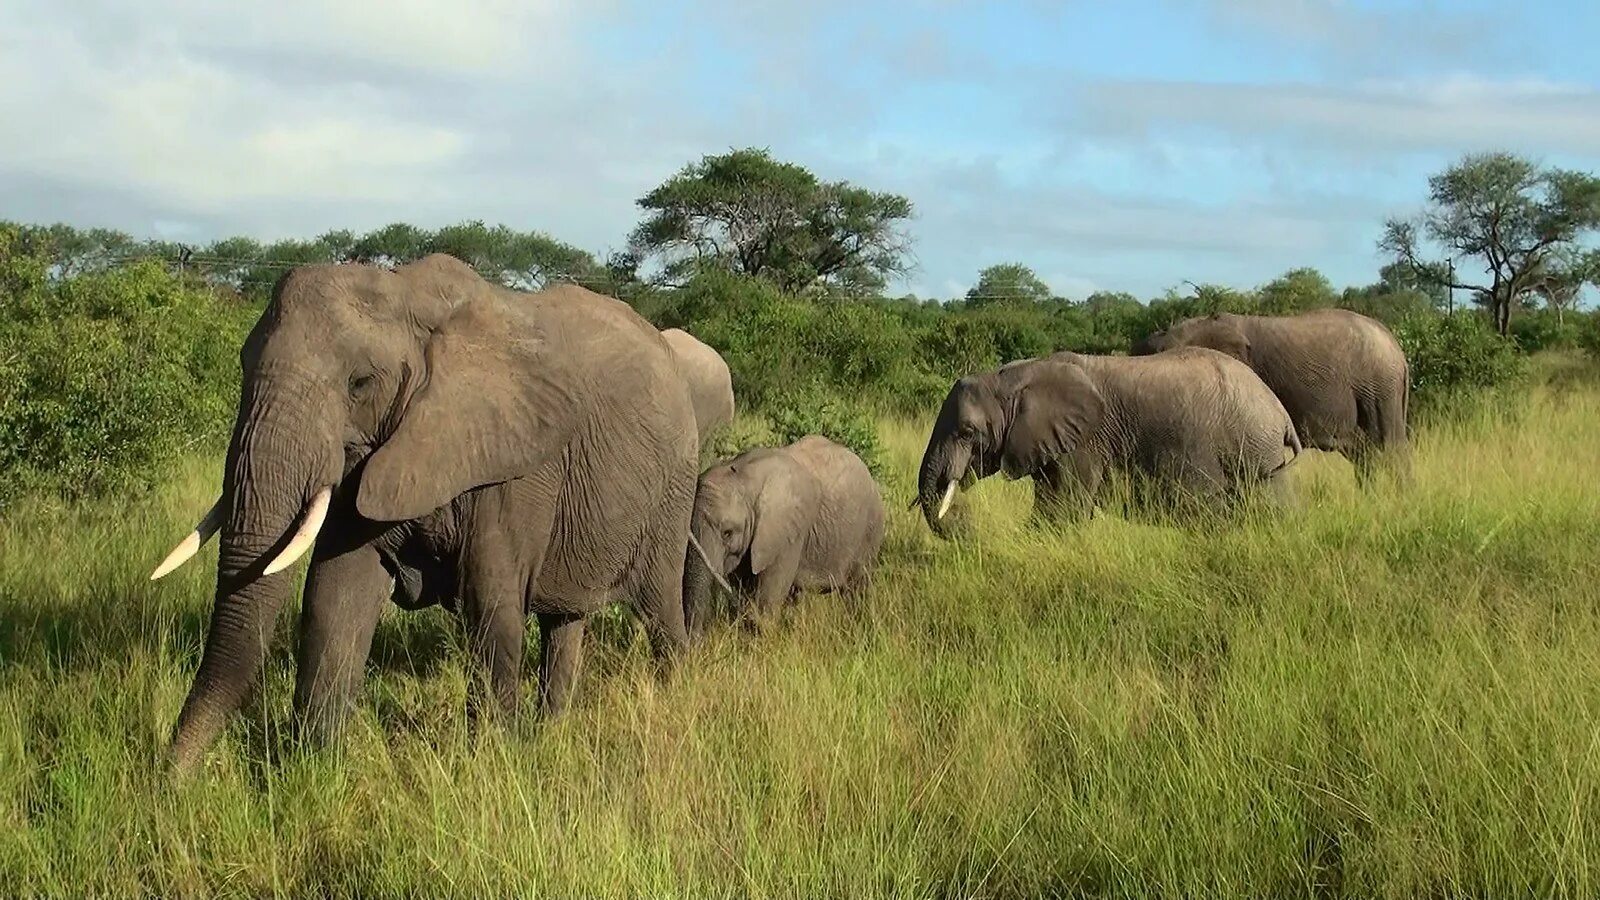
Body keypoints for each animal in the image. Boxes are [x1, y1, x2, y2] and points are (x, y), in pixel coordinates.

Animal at [150, 253, 700, 771]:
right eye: (243, 365)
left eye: (360, 383)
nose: (169, 775)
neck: (408, 297)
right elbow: (335, 597)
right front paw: (311, 769)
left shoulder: (517, 466)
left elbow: (490, 604)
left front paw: (492, 763)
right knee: (564, 622)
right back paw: (550, 733)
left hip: (674, 486)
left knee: (659, 607)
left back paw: (675, 700)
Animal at [684, 435, 896, 630]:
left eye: (727, 533)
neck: (743, 477)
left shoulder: (786, 533)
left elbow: (770, 593)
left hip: (870, 529)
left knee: (857, 588)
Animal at [915, 344, 1299, 528]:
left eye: (967, 432)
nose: (966, 524)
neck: (1015, 376)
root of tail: (1281, 414)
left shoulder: (1084, 443)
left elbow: (1063, 510)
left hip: (1254, 448)